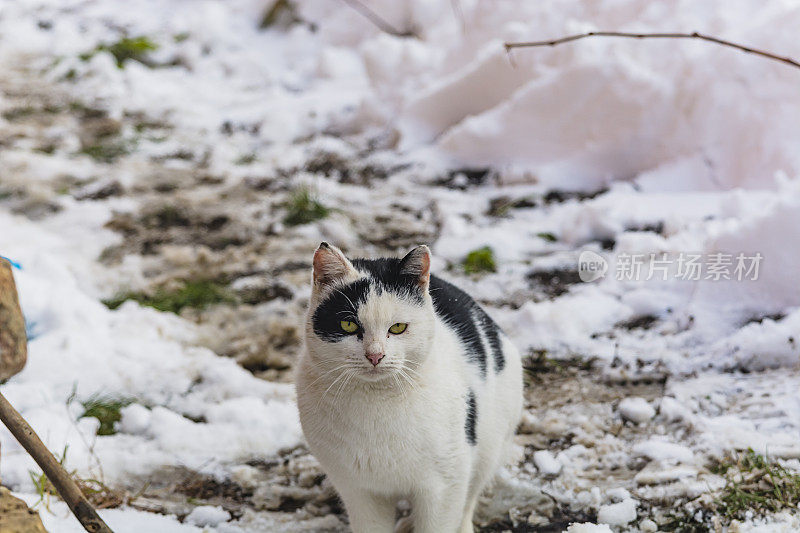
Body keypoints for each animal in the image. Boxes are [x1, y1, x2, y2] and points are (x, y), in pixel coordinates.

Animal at [296, 242, 520, 532]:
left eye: (398, 328)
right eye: (348, 324)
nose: (375, 355)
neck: (376, 404)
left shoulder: (445, 485)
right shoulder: (358, 490)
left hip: (488, 450)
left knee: (469, 500)